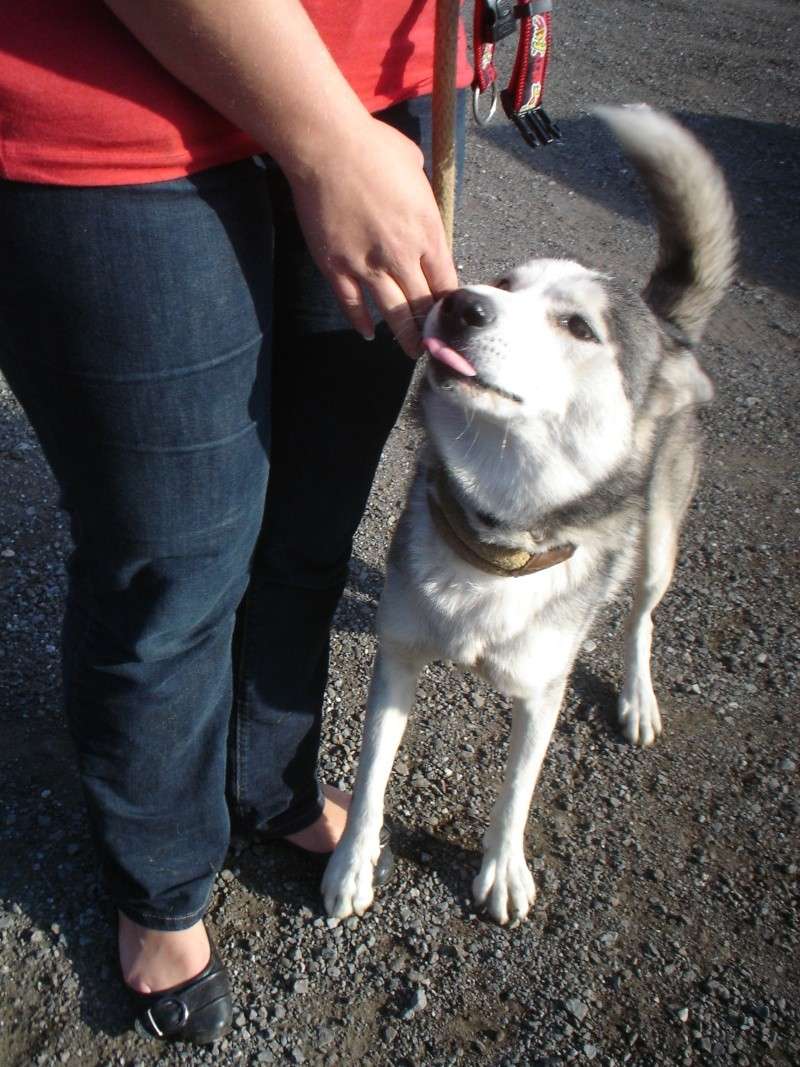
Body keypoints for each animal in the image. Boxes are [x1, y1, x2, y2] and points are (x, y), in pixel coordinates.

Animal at [322, 106, 738, 926]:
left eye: (578, 326)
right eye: (505, 283)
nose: (462, 302)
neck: (498, 536)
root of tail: (669, 328)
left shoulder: (542, 691)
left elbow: (517, 787)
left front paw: (503, 869)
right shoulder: (398, 657)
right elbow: (371, 773)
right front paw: (351, 865)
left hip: (659, 545)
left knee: (640, 616)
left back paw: (637, 696)